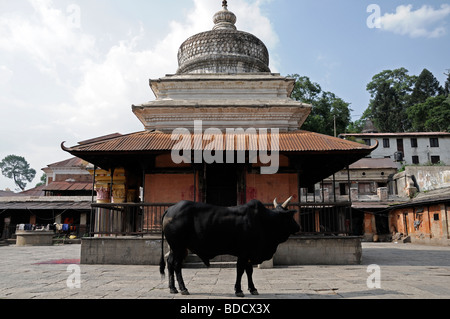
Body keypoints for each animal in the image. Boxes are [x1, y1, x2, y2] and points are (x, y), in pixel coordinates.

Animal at [158, 198, 298, 298]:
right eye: (290, 217)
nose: (298, 226)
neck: (263, 221)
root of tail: (170, 209)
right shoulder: (243, 253)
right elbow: (240, 270)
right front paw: (239, 290)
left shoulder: (249, 254)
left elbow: (249, 271)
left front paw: (253, 289)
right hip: (179, 247)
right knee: (176, 265)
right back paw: (183, 288)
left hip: (175, 248)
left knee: (170, 263)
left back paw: (173, 288)